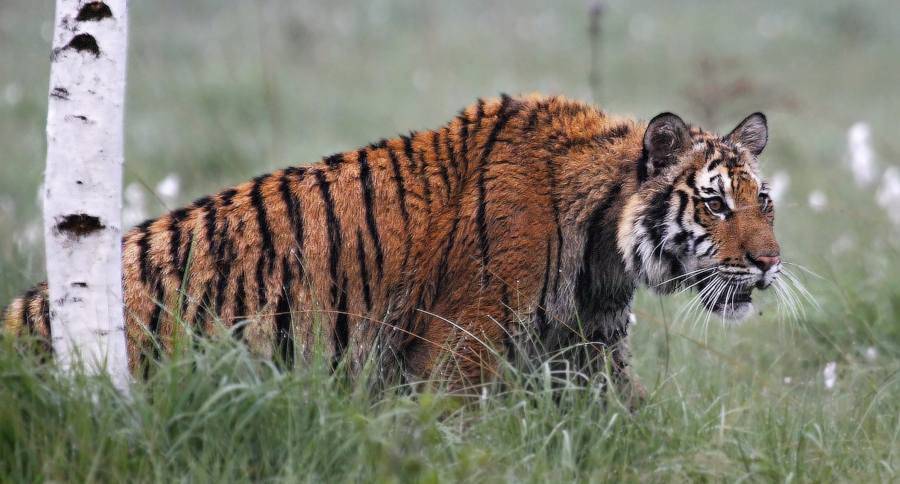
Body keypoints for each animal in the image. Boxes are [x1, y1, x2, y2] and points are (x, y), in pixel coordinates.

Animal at [2, 94, 781, 396]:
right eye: (715, 203)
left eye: (764, 202)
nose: (770, 263)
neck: (604, 256)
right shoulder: (461, 353)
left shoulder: (586, 353)